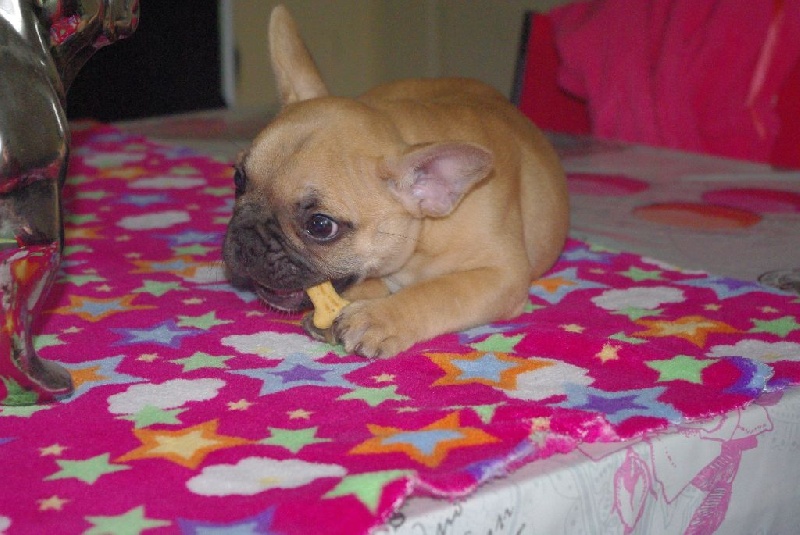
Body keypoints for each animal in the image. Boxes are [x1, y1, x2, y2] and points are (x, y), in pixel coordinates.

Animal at [223, 5, 569, 358]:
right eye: (239, 179)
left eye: (320, 226)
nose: (247, 240)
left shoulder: (503, 275)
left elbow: (441, 291)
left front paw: (379, 317)